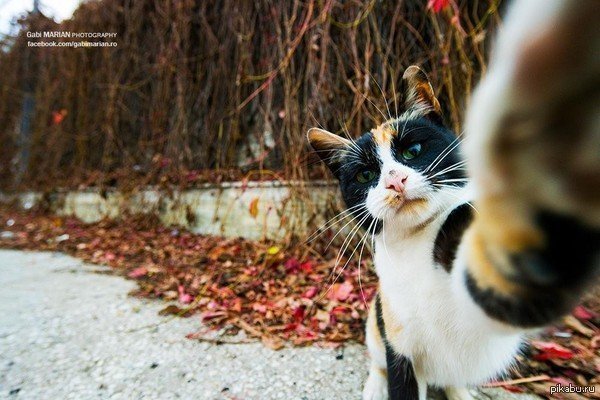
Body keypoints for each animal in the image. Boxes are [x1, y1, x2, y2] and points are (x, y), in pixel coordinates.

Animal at [308, 1, 596, 398]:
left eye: (413, 151)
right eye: (365, 175)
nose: (394, 180)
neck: (416, 247)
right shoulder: (399, 345)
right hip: (376, 324)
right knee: (377, 363)